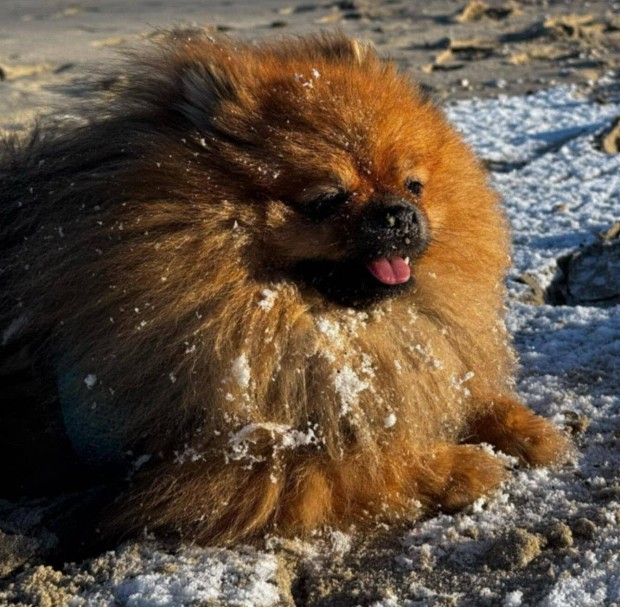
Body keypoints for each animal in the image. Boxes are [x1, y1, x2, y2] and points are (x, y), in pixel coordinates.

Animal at [0, 32, 568, 548]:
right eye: (326, 200)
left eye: (414, 186)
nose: (399, 214)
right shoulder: (231, 469)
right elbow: (368, 464)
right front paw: (461, 466)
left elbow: (461, 397)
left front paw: (526, 429)